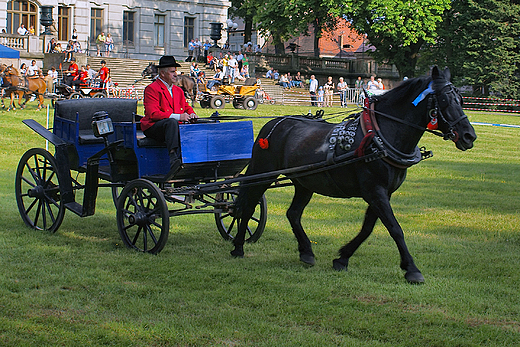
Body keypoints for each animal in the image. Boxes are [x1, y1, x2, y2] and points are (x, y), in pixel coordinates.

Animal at [234, 66, 478, 284]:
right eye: (444, 100)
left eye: (461, 100)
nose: (469, 136)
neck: (379, 136)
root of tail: (274, 122)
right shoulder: (375, 191)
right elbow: (395, 228)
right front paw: (412, 269)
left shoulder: (382, 193)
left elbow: (368, 228)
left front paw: (342, 258)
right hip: (263, 174)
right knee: (248, 206)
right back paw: (238, 246)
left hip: (305, 182)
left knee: (293, 213)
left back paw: (306, 251)